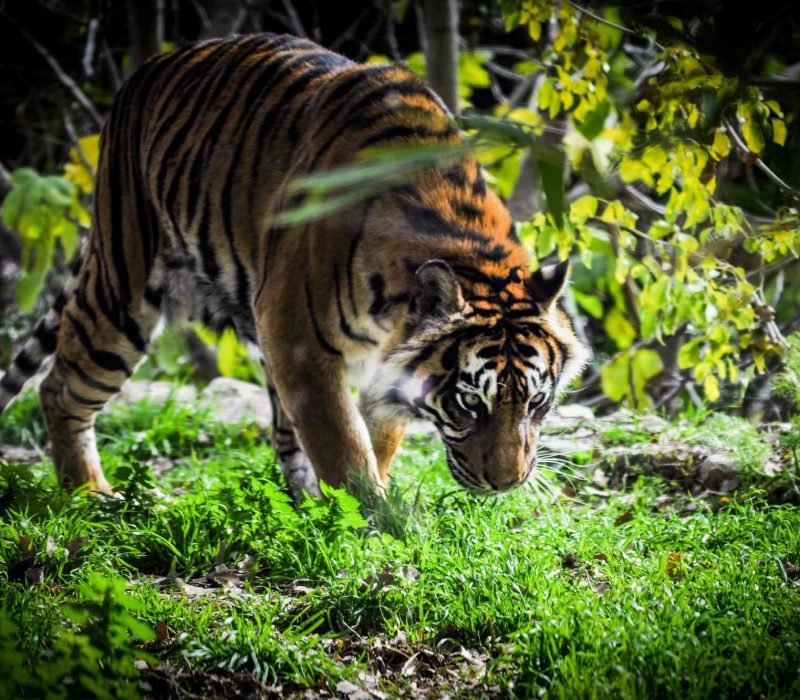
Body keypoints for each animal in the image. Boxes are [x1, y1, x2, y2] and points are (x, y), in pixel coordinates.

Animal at [0, 34, 588, 498]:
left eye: (537, 403)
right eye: (469, 402)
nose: (507, 483)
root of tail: (145, 70)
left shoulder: (375, 363)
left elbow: (374, 440)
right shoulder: (300, 343)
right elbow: (344, 448)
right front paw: (377, 526)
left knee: (284, 434)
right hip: (123, 288)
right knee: (60, 388)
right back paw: (88, 495)